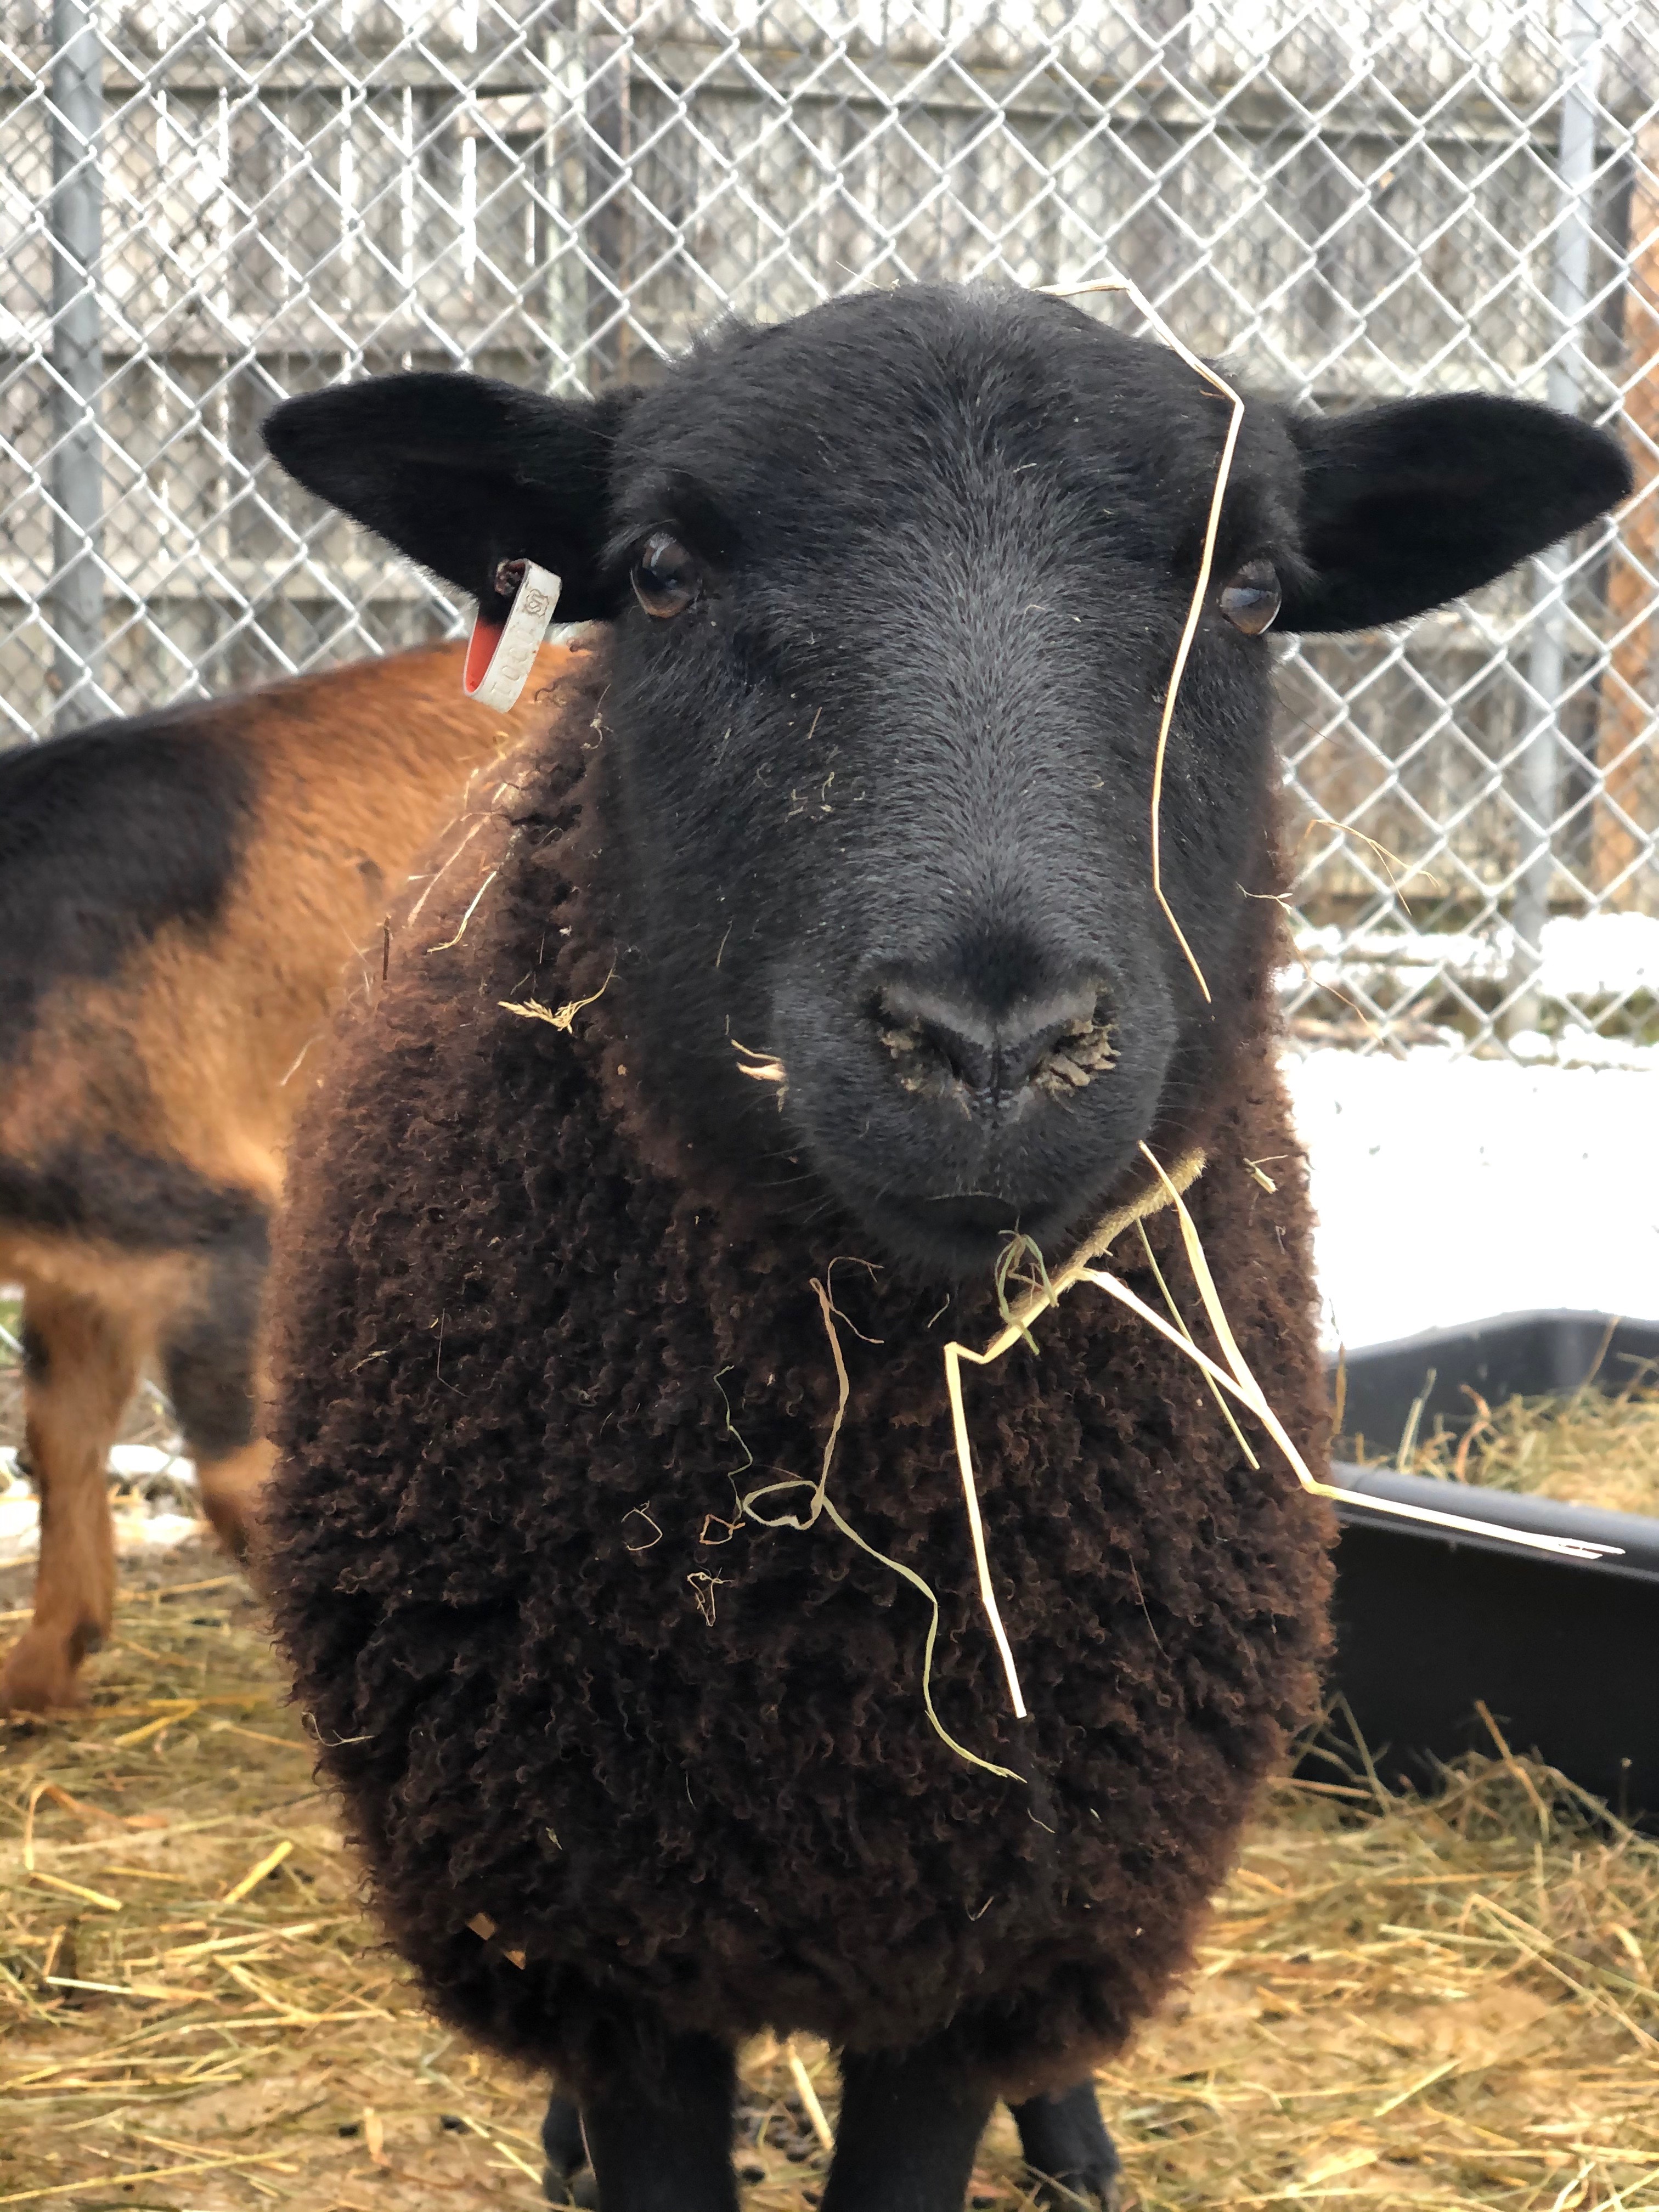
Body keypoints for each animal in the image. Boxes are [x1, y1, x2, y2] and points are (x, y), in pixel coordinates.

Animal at [259, 285, 1637, 2212]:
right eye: (661, 568)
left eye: (1254, 594)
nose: (990, 1042)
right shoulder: (604, 1939)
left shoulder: (1002, 1923)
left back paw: (1077, 2146)